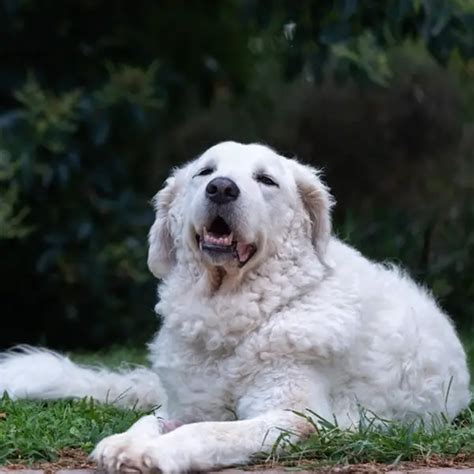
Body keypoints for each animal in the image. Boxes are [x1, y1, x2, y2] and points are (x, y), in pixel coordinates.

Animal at [0, 142, 470, 474]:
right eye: (205, 172)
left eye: (266, 180)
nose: (222, 188)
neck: (233, 315)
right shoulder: (180, 406)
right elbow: (150, 422)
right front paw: (128, 443)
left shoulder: (296, 417)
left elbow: (210, 432)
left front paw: (157, 454)